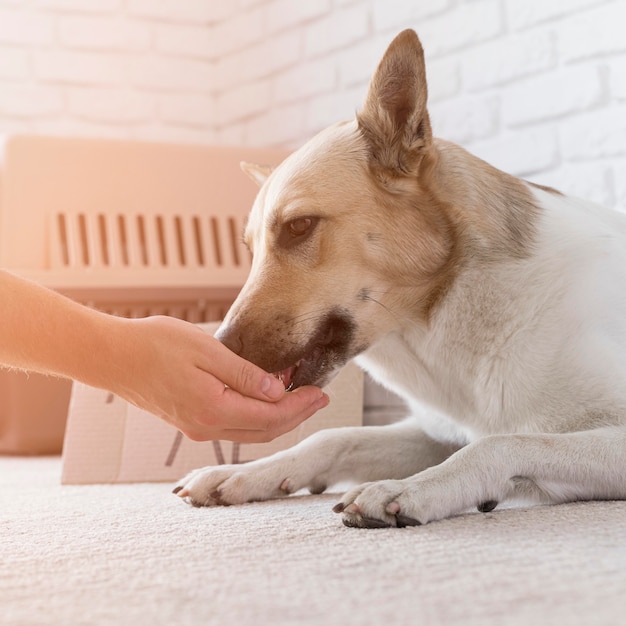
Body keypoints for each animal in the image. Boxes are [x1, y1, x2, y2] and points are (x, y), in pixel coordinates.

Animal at [173, 29, 624, 528]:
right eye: (250, 251)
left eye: (298, 226)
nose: (219, 348)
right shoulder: (436, 432)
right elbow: (334, 437)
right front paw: (246, 472)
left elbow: (500, 442)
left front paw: (410, 490)